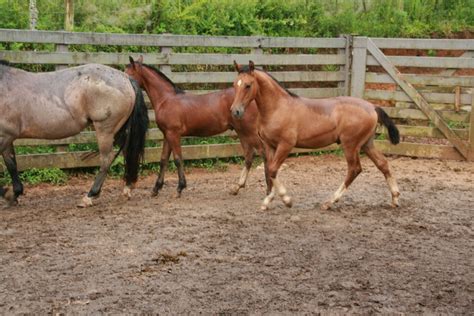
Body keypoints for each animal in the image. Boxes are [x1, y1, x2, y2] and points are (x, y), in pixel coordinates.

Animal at [0, 60, 148, 209]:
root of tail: (126, 78)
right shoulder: (7, 138)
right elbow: (11, 164)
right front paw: (14, 194)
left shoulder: (4, 137)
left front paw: (7, 194)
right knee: (127, 153)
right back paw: (127, 188)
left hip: (105, 130)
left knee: (107, 160)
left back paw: (90, 196)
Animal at [125, 55, 262, 196]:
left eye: (128, 73)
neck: (166, 100)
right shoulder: (167, 135)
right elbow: (163, 160)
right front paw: (156, 189)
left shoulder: (174, 134)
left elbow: (178, 159)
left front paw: (180, 188)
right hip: (242, 132)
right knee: (249, 155)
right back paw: (237, 187)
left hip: (249, 131)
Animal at [231, 60, 400, 211]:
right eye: (234, 85)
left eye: (248, 85)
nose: (235, 111)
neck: (278, 108)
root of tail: (372, 106)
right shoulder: (270, 145)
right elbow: (271, 171)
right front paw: (267, 202)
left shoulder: (286, 145)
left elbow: (272, 170)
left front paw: (287, 200)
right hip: (367, 144)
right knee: (383, 164)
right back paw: (395, 198)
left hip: (350, 145)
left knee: (354, 169)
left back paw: (329, 202)